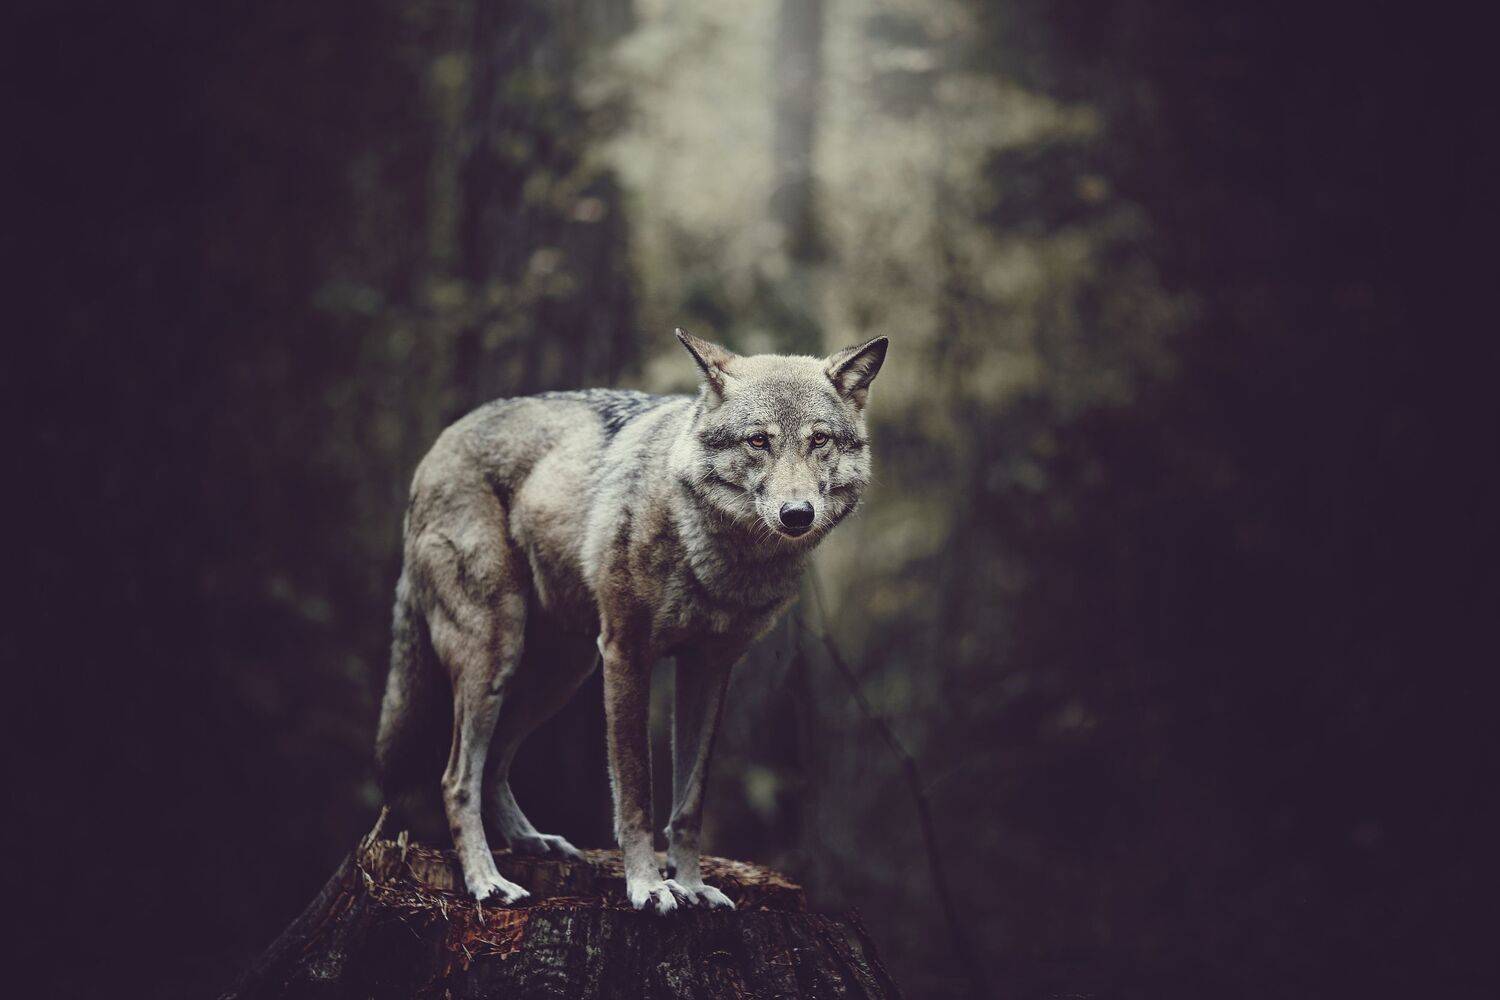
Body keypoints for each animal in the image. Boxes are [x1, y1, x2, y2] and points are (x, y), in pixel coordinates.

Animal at [374, 329, 887, 912]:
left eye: (819, 440)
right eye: (758, 442)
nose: (797, 515)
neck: (718, 557)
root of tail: (439, 444)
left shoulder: (709, 668)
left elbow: (689, 804)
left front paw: (692, 885)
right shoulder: (626, 653)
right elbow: (636, 792)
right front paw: (648, 886)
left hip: (559, 676)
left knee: (496, 762)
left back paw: (532, 841)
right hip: (497, 656)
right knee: (456, 777)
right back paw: (487, 881)